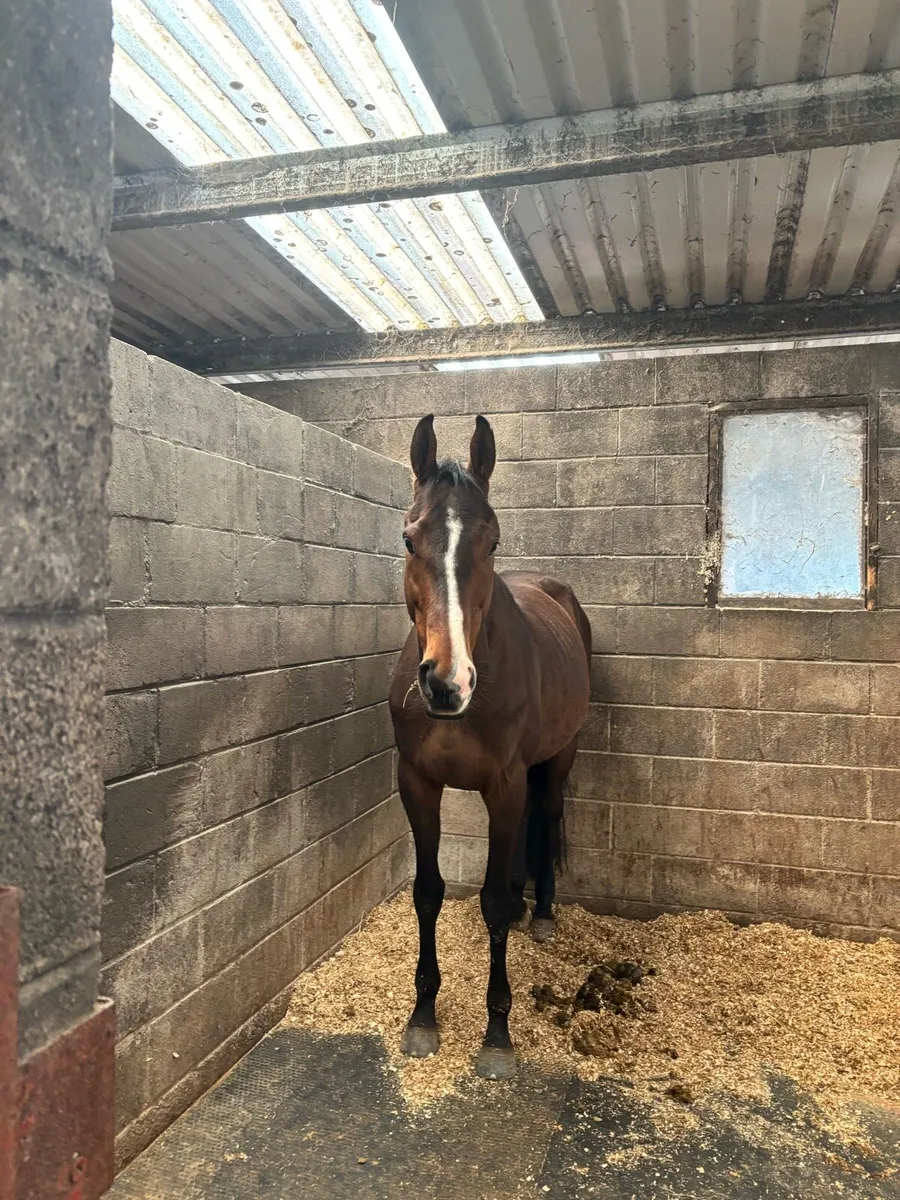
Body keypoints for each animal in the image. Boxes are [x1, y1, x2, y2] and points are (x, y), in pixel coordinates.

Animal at [388, 413, 592, 1080]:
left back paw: (544, 914)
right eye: (409, 539)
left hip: (559, 755)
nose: (446, 682)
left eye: (494, 542)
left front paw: (497, 1033)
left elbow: (495, 903)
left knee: (546, 814)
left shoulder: (504, 785)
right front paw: (423, 1015)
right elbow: (427, 892)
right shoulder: (417, 783)